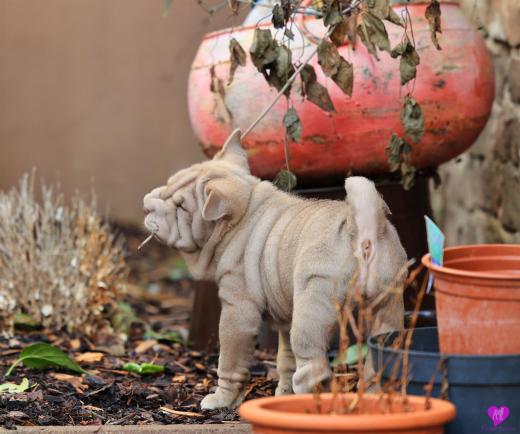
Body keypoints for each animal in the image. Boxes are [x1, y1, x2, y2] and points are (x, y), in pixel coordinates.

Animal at [143, 129, 407, 410]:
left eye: (181, 207)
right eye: (168, 183)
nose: (146, 204)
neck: (244, 214)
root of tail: (362, 232)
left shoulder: (238, 311)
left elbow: (230, 362)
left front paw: (221, 399)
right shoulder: (285, 317)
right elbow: (285, 359)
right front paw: (282, 393)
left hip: (313, 304)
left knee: (312, 366)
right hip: (386, 305)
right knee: (380, 356)